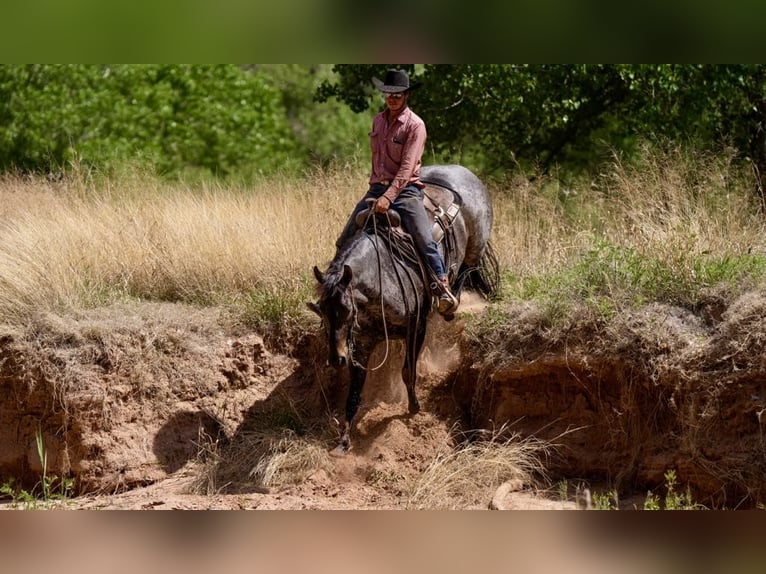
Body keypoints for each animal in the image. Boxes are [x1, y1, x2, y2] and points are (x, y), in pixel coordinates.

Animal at [308, 165, 500, 454]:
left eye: (347, 312)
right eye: (322, 313)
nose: (337, 359)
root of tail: (463, 171)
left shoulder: (416, 327)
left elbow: (408, 371)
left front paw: (413, 408)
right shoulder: (361, 343)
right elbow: (354, 391)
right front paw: (343, 441)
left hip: (475, 248)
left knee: (466, 270)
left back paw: (448, 302)